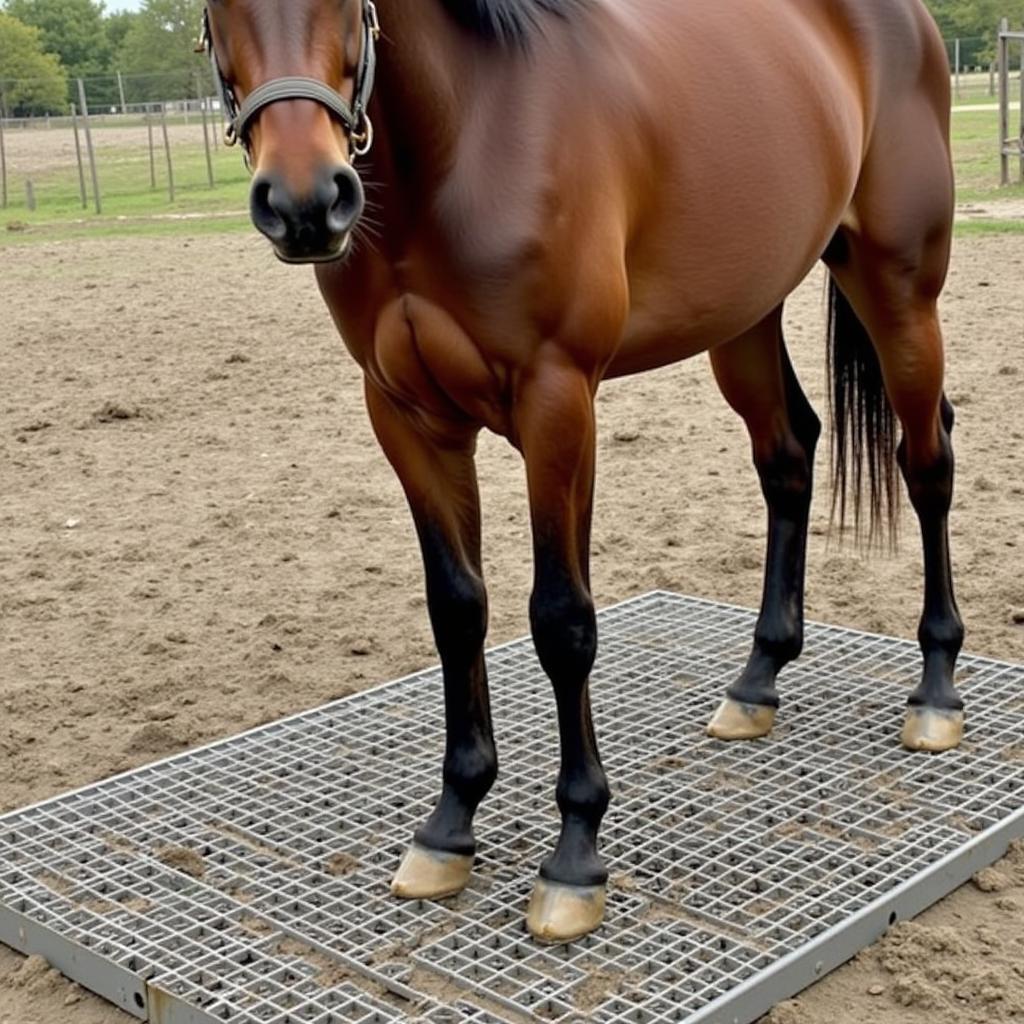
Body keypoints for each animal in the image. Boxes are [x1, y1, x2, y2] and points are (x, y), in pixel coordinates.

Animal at [201, 0, 966, 942]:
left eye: (351, 7)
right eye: (214, 13)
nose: (306, 201)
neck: (468, 135)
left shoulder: (558, 403)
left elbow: (562, 621)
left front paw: (574, 852)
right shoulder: (406, 419)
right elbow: (457, 609)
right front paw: (450, 824)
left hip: (900, 288)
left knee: (927, 462)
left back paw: (935, 692)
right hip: (744, 312)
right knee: (789, 455)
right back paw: (758, 680)